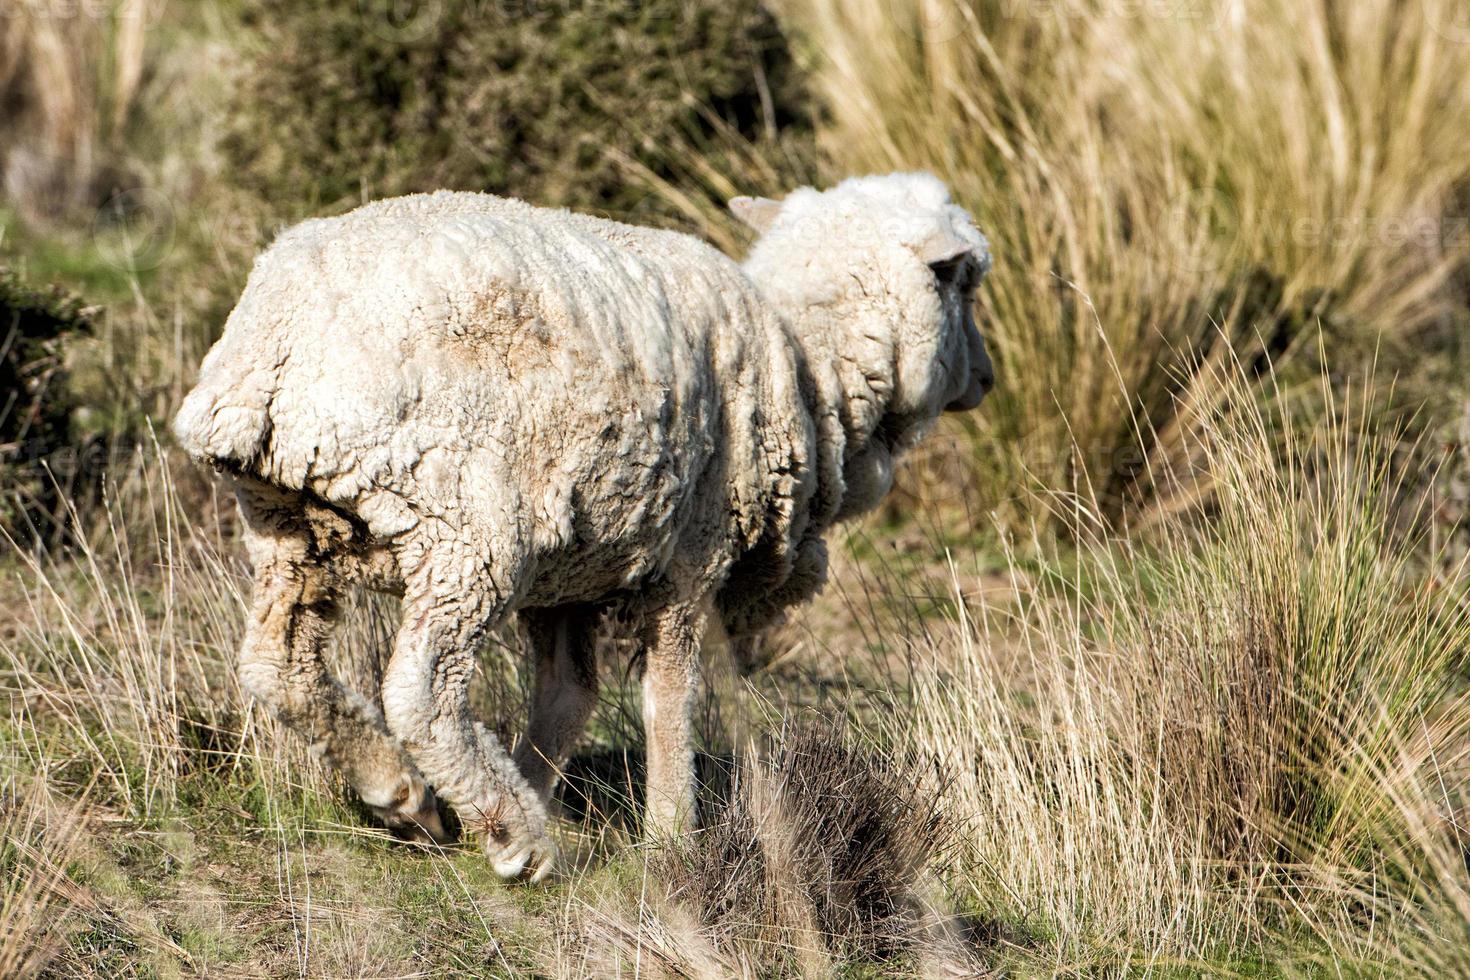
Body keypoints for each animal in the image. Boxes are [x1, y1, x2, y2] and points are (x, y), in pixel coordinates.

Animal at [174, 172, 999, 887]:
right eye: (965, 284)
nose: (988, 380)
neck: (810, 364)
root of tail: (273, 350)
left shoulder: (572, 566)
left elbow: (567, 696)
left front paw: (539, 782)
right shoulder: (692, 553)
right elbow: (669, 700)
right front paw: (674, 837)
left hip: (289, 527)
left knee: (277, 668)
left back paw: (401, 791)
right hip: (467, 529)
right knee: (420, 689)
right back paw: (514, 839)